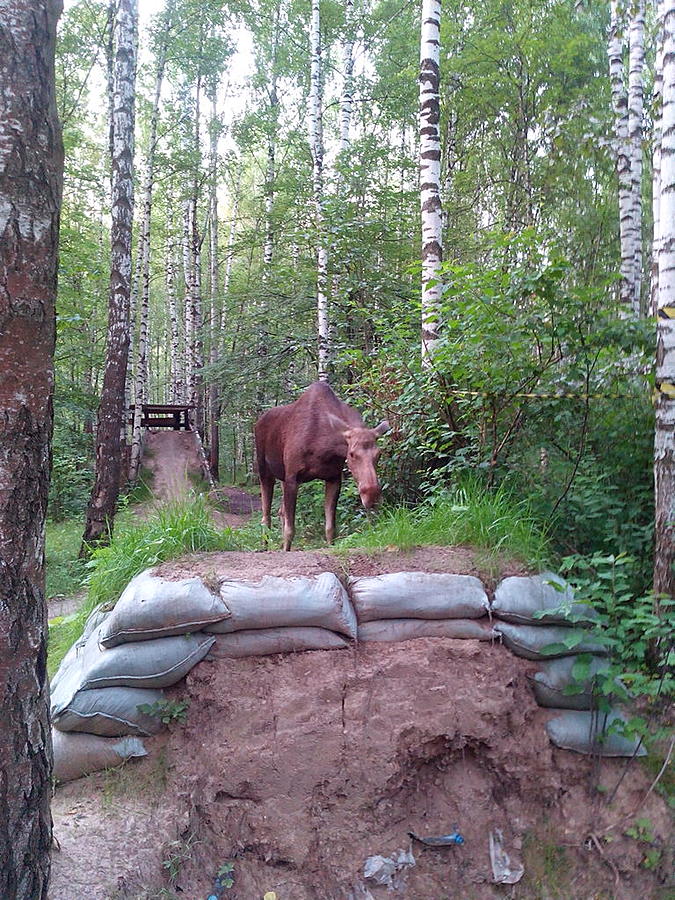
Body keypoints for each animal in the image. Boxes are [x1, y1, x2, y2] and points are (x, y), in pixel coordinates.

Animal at [255, 380, 390, 548]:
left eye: (379, 454)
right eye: (351, 454)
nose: (372, 496)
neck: (323, 447)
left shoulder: (333, 477)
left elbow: (330, 528)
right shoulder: (293, 477)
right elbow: (290, 530)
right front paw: (286, 549)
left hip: (282, 476)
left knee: (280, 511)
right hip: (264, 470)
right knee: (266, 516)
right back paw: (264, 546)